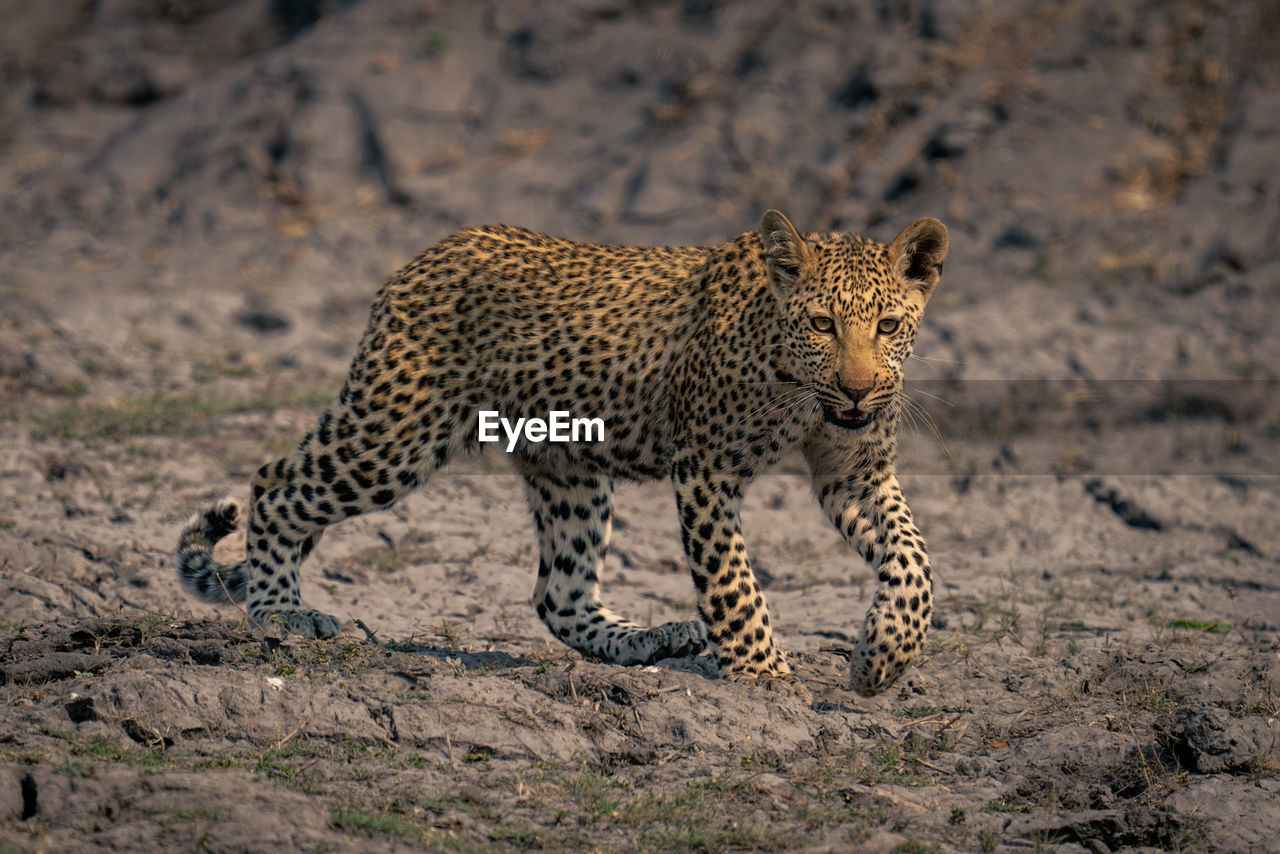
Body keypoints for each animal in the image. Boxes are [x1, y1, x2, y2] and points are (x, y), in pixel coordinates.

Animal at [175, 208, 947, 701]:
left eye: (887, 326)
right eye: (820, 323)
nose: (856, 388)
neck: (800, 391)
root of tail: (421, 259)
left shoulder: (854, 473)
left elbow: (915, 562)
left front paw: (881, 660)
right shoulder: (706, 470)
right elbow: (732, 580)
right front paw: (762, 674)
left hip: (566, 466)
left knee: (558, 592)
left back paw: (649, 640)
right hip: (393, 435)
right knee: (276, 485)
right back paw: (281, 611)